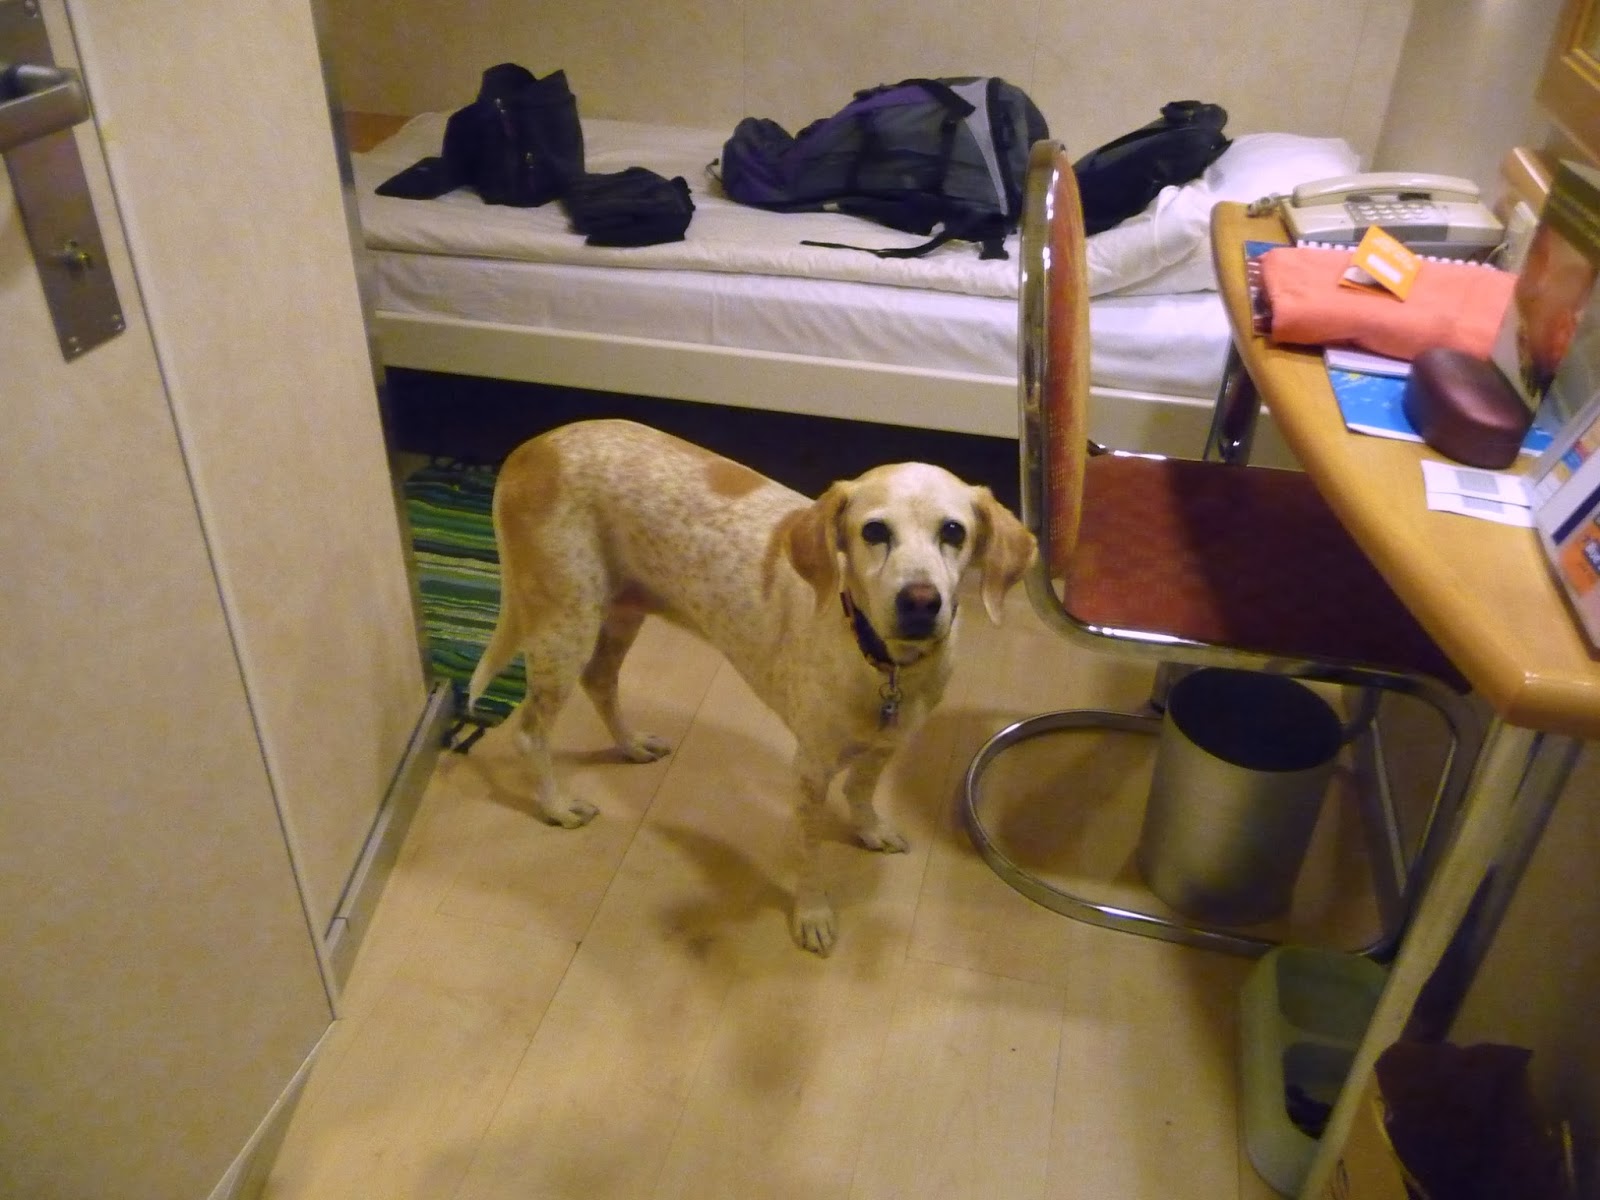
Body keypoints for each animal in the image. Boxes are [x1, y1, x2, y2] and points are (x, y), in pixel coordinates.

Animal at [469, 419, 1036, 954]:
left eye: (953, 531)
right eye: (875, 531)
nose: (920, 602)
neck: (884, 662)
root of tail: (535, 447)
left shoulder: (888, 742)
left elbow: (861, 790)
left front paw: (870, 830)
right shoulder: (809, 769)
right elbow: (810, 854)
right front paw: (812, 915)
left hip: (620, 613)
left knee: (602, 682)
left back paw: (631, 745)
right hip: (564, 625)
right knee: (531, 731)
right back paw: (556, 806)